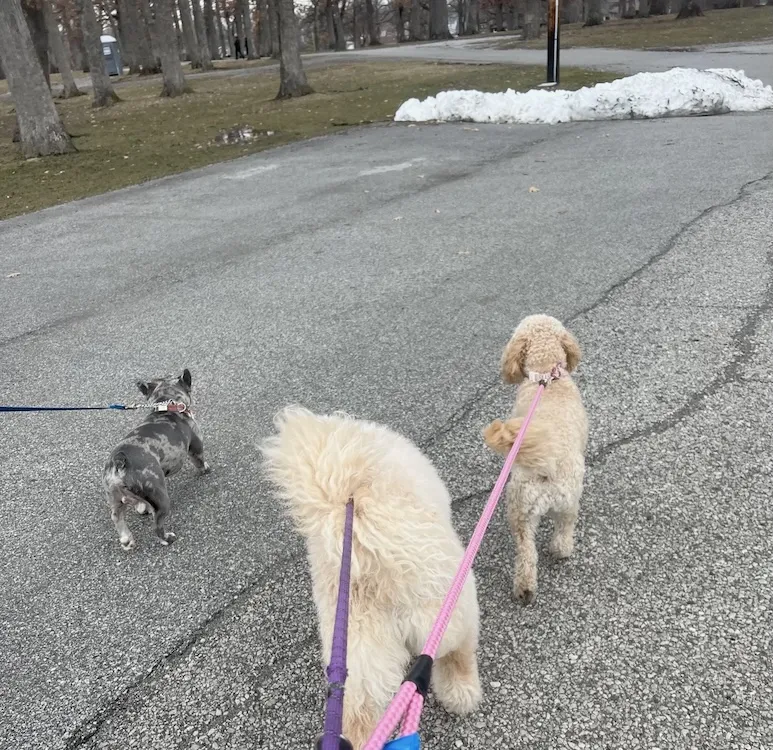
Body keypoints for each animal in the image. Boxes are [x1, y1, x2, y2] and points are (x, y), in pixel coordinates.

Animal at [482, 316, 584, 604]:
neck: (545, 374)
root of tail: (547, 463)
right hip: (565, 503)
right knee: (561, 535)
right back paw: (560, 553)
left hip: (524, 508)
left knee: (527, 551)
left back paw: (525, 588)